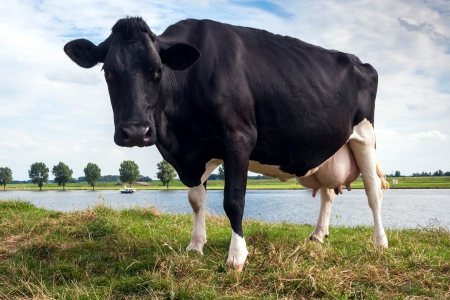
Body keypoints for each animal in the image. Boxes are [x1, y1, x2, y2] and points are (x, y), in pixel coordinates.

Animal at [64, 17, 390, 272]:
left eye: (157, 71)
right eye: (108, 71)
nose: (135, 132)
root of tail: (361, 62)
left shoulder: (238, 138)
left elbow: (234, 201)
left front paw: (237, 257)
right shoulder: (193, 152)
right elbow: (196, 201)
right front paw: (195, 245)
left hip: (365, 136)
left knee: (373, 192)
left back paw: (380, 242)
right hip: (324, 150)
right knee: (328, 193)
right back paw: (318, 235)